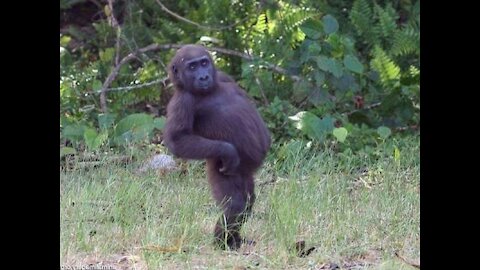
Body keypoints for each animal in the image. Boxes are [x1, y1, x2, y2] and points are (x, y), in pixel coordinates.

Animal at [164, 44, 270, 249]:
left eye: (204, 63)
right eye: (192, 67)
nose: (204, 77)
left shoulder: (222, 75)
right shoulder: (182, 100)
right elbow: (177, 139)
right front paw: (228, 151)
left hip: (245, 175)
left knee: (248, 201)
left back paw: (236, 239)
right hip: (219, 169)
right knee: (236, 204)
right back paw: (223, 243)